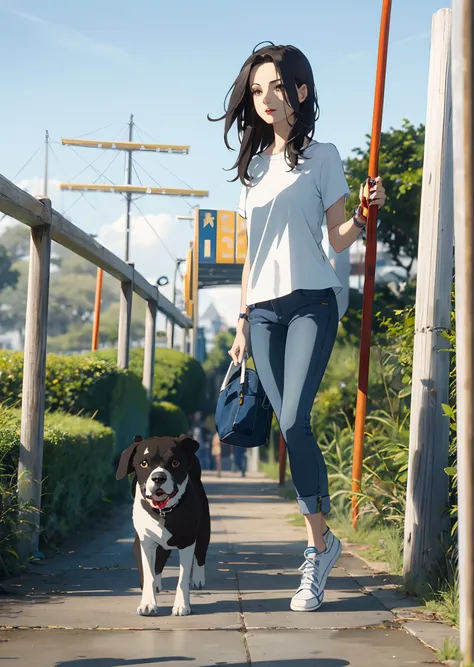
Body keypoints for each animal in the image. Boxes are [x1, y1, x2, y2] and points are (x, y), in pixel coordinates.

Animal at [115, 436, 210, 620]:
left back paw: (198, 579)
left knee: (200, 554)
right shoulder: (145, 542)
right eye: (144, 463)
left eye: (175, 463)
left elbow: (182, 578)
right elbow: (148, 574)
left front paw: (182, 605)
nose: (158, 477)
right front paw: (148, 603)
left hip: (204, 530)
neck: (163, 511)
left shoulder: (187, 542)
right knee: (158, 562)